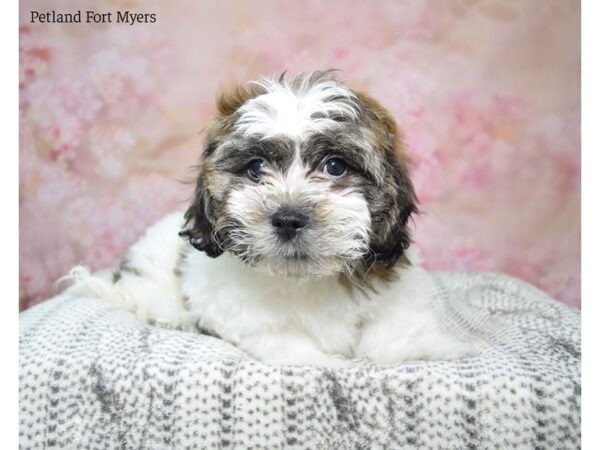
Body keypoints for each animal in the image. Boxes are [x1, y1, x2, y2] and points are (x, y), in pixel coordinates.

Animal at [68, 70, 476, 366]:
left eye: (335, 166)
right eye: (255, 168)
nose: (289, 218)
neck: (307, 278)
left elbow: (390, 327)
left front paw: (429, 347)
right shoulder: (237, 310)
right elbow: (280, 337)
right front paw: (318, 359)